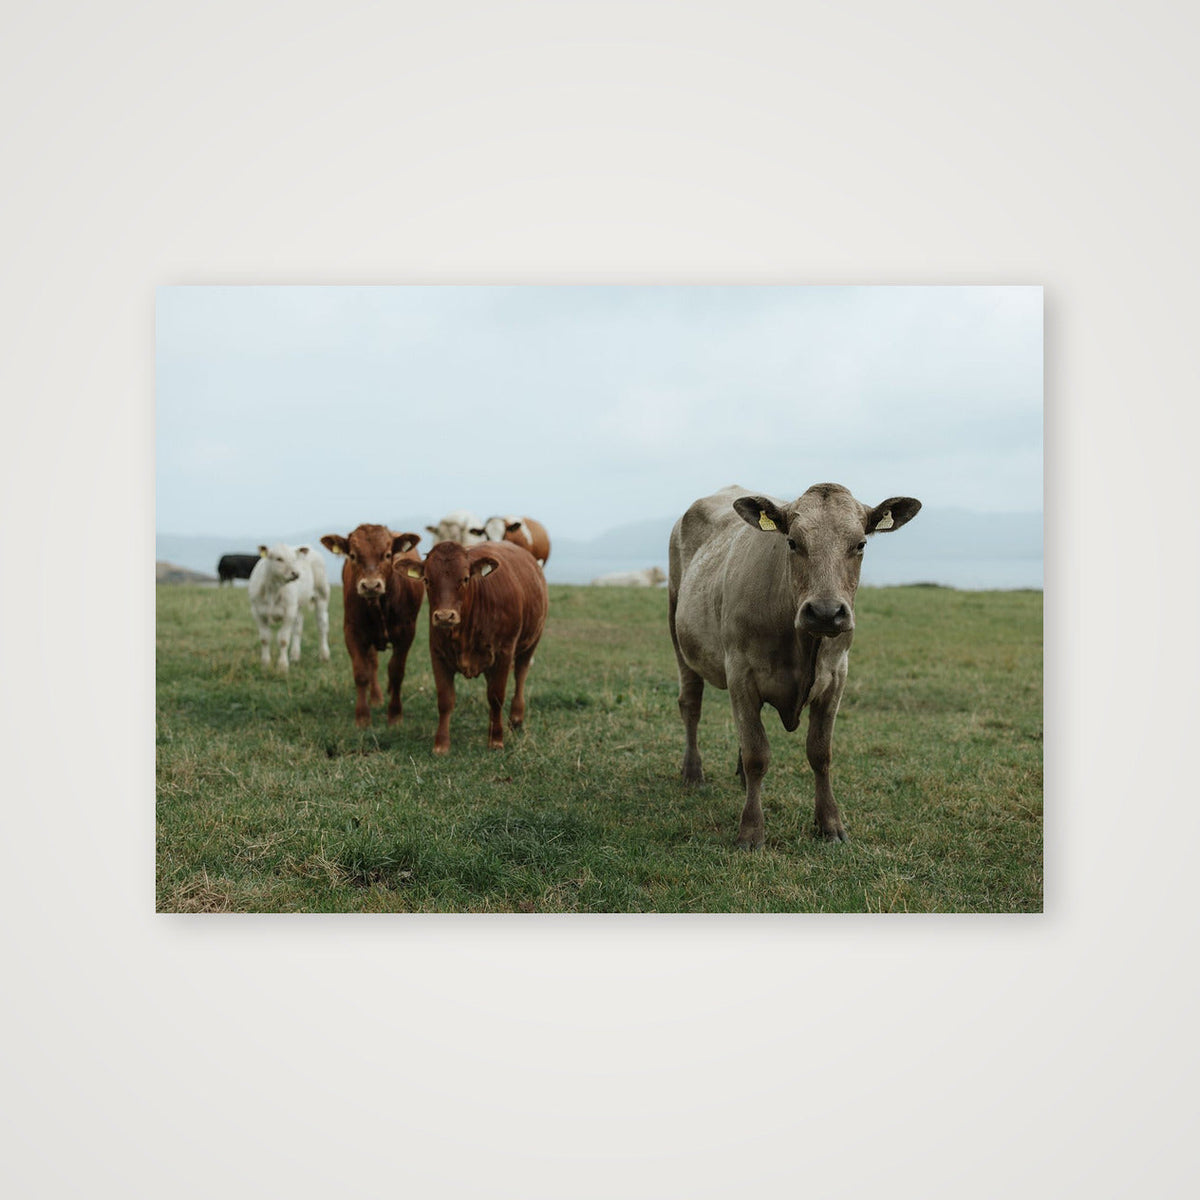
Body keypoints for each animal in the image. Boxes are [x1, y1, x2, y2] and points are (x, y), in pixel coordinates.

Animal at [248, 543, 331, 672]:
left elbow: (283, 640)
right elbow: (265, 638)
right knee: (298, 628)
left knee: (322, 626)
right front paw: (265, 664)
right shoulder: (258, 613)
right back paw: (295, 655)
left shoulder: (288, 613)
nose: (296, 573)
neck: (273, 590)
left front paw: (282, 666)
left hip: (322, 596)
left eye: (294, 559)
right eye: (279, 559)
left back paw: (324, 655)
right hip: (298, 605)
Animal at [319, 525, 424, 728]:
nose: (370, 585)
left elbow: (396, 671)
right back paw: (376, 698)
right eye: (353, 555)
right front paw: (362, 717)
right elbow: (362, 672)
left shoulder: (407, 633)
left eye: (388, 554)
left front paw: (395, 715)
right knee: (373, 663)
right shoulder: (352, 632)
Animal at [400, 539, 549, 754]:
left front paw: (496, 740)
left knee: (520, 675)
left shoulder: (504, 653)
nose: (444, 616)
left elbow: (496, 696)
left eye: (465, 578)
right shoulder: (437, 654)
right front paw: (441, 744)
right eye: (427, 580)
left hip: (530, 643)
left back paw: (516, 719)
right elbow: (445, 700)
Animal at [668, 483, 921, 848]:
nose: (826, 612)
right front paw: (751, 830)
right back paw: (692, 772)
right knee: (691, 705)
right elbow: (757, 754)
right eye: (792, 542)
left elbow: (820, 753)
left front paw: (830, 824)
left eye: (860, 544)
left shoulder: (836, 678)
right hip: (679, 634)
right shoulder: (741, 672)